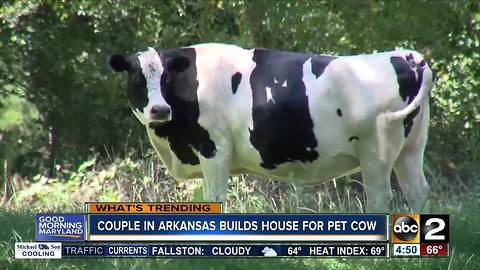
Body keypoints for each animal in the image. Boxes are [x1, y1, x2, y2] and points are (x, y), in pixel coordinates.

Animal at [109, 43, 436, 212]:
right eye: (137, 77)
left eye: (165, 77)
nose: (160, 109)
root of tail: (407, 55)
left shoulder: (215, 148)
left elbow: (215, 199)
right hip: (411, 149)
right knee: (418, 192)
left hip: (375, 151)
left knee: (380, 198)